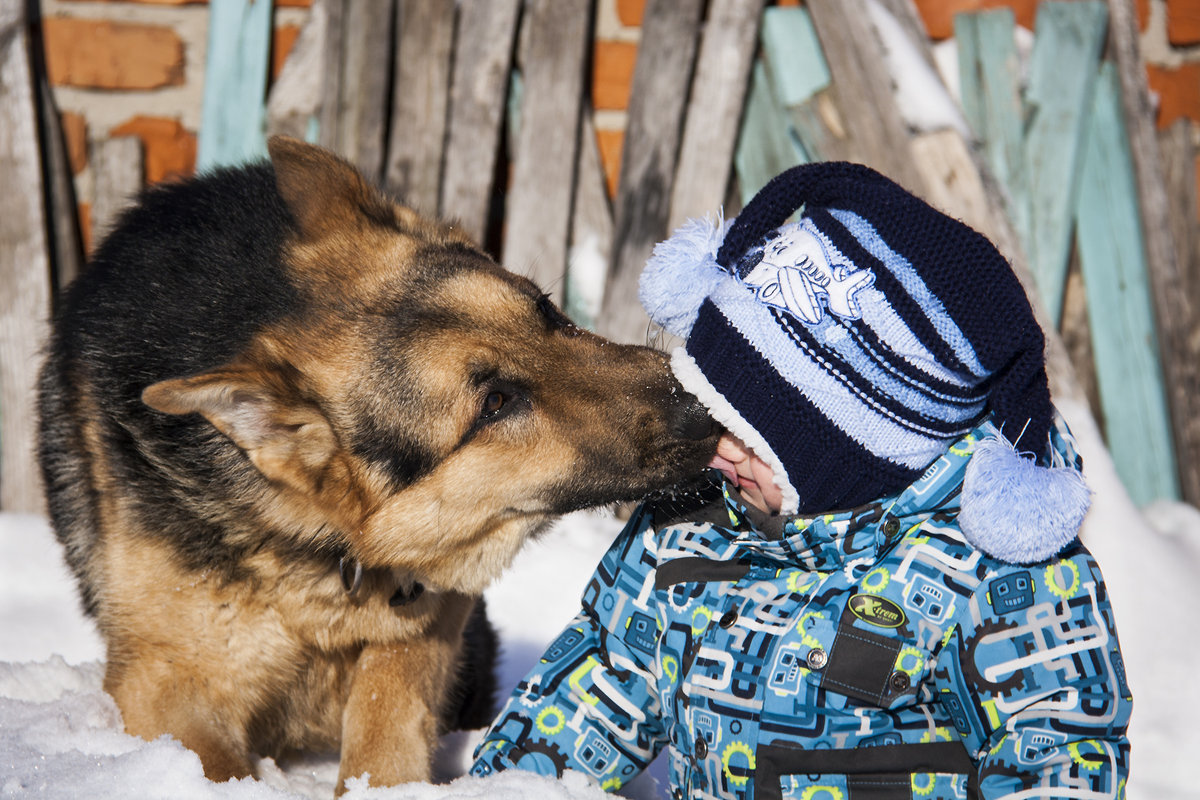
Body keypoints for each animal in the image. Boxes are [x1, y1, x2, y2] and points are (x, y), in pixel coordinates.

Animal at [42, 134, 715, 791]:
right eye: (495, 404)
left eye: (547, 311)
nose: (703, 406)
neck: (322, 549)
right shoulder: (161, 684)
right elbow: (216, 765)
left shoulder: (432, 613)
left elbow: (386, 718)